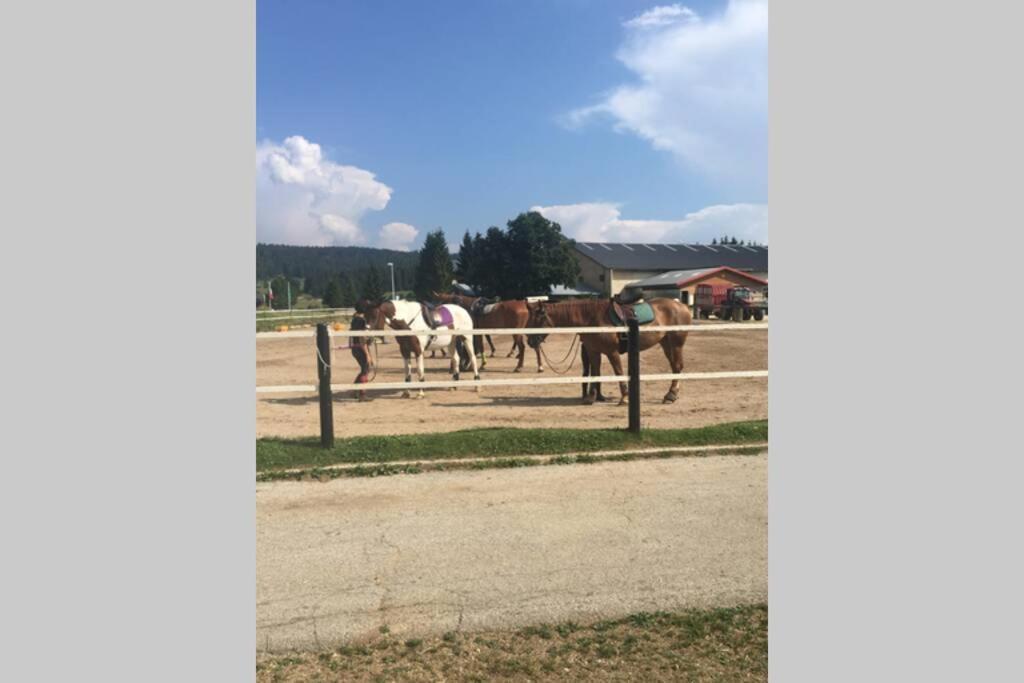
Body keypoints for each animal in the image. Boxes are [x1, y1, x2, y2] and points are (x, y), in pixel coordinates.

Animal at [528, 299, 688, 405]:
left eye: (538, 319)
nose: (530, 342)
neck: (591, 318)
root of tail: (682, 306)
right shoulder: (593, 352)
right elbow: (595, 373)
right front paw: (591, 397)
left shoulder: (612, 352)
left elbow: (619, 372)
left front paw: (625, 397)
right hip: (666, 344)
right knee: (675, 367)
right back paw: (673, 394)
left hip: (676, 344)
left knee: (677, 366)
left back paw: (670, 395)